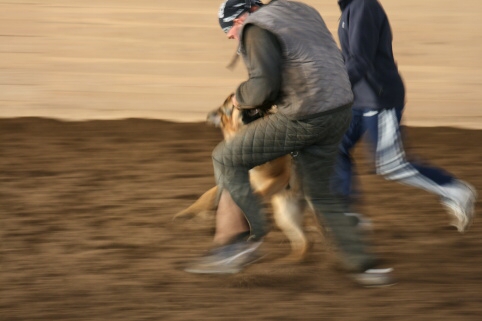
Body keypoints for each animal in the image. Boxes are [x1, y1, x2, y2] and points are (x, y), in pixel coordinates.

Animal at [174, 92, 308, 260]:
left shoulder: (281, 176)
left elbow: (260, 192)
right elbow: (207, 196)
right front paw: (188, 213)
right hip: (285, 216)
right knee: (304, 243)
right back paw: (290, 261)